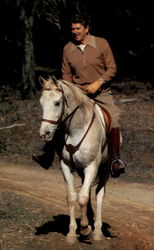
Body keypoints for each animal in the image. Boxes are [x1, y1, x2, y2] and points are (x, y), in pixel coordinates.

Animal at [38, 75, 110, 243]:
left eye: (57, 103)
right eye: (41, 103)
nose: (44, 133)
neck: (76, 129)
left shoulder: (91, 166)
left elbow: (82, 198)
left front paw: (85, 230)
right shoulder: (66, 166)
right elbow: (72, 197)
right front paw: (72, 233)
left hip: (105, 170)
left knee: (99, 195)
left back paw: (97, 231)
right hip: (82, 171)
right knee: (87, 191)